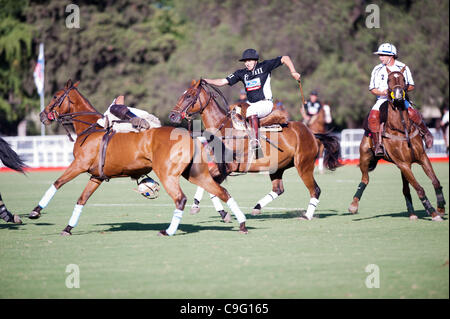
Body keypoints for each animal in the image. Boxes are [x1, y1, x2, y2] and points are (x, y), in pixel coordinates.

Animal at [27, 79, 250, 236]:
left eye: (55, 96)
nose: (41, 115)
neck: (90, 128)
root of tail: (189, 135)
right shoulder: (96, 176)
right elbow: (81, 199)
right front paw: (68, 228)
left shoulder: (79, 164)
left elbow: (57, 183)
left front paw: (35, 212)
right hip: (195, 173)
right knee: (222, 191)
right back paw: (242, 223)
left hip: (167, 174)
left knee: (180, 199)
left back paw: (168, 231)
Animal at [168, 79, 342, 221]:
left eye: (189, 96)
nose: (172, 116)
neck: (223, 128)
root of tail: (311, 133)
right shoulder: (222, 167)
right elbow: (209, 186)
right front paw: (203, 208)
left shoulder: (229, 167)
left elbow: (211, 187)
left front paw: (218, 212)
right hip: (277, 167)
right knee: (278, 189)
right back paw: (257, 207)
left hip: (303, 166)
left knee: (315, 190)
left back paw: (306, 216)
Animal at [346, 67, 444, 222]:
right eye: (388, 79)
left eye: (403, 79)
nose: (398, 95)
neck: (401, 128)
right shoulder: (403, 164)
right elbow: (420, 189)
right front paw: (433, 212)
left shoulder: (421, 158)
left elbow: (435, 181)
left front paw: (440, 208)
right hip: (365, 157)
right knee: (365, 179)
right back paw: (353, 206)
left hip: (402, 166)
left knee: (405, 188)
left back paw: (412, 213)